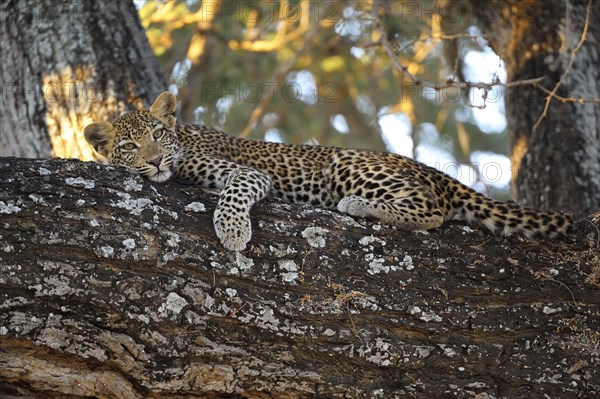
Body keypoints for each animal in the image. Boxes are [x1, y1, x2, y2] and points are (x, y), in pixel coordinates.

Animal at [83, 92, 572, 252]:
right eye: (129, 146)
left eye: (158, 134)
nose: (155, 161)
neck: (183, 138)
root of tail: (431, 169)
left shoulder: (243, 174)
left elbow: (235, 192)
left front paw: (234, 232)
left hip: (351, 164)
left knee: (433, 209)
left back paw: (359, 204)